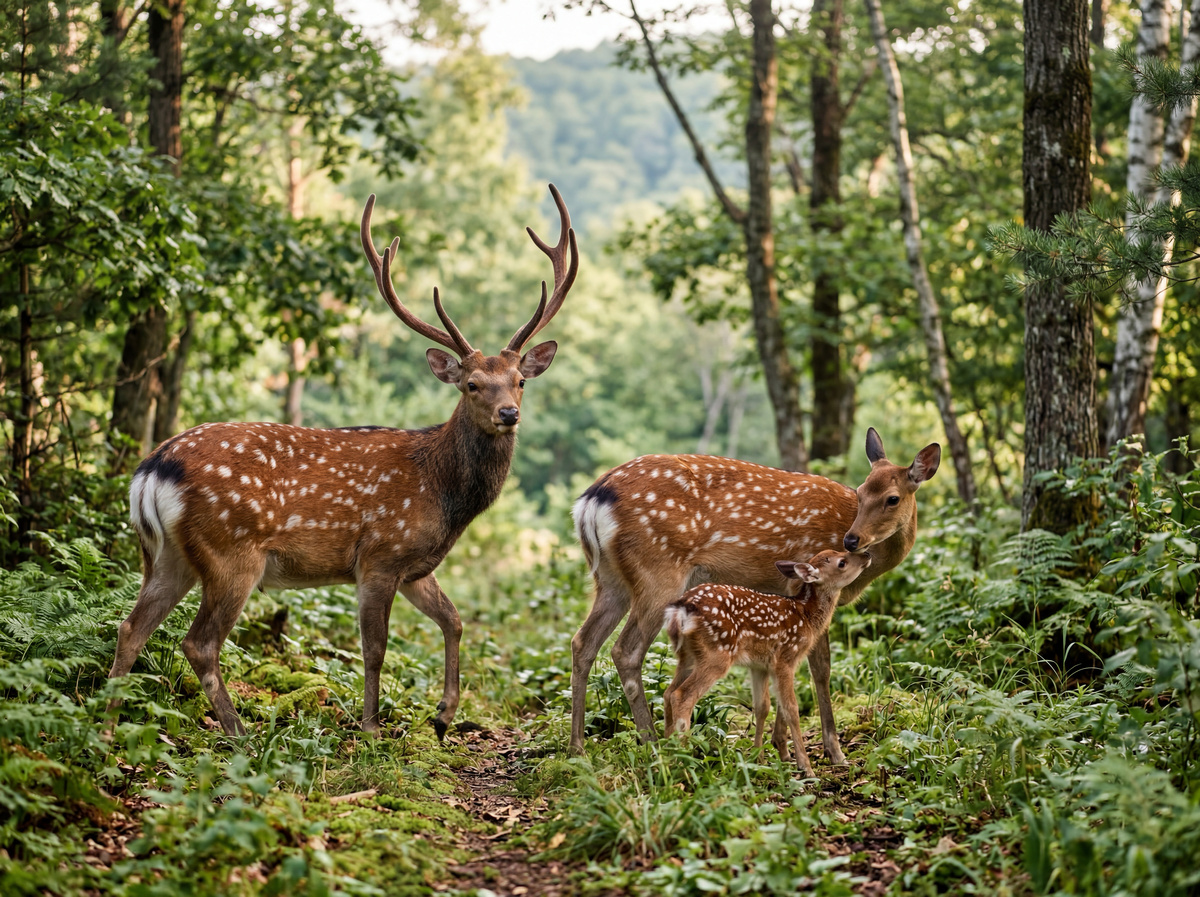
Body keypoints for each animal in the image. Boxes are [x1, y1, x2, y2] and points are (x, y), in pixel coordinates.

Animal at [108, 185, 578, 739]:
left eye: (520, 381)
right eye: (471, 384)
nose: (508, 413)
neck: (442, 493)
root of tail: (151, 470)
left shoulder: (415, 567)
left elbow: (455, 619)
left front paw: (443, 715)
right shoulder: (379, 553)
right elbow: (375, 648)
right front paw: (372, 728)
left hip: (167, 556)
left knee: (131, 626)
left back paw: (107, 729)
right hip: (231, 552)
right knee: (199, 642)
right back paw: (240, 732)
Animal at [663, 549, 872, 776]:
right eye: (842, 562)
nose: (867, 554)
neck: (807, 616)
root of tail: (681, 609)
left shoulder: (759, 665)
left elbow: (762, 707)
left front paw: (758, 759)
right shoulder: (785, 658)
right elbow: (792, 709)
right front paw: (805, 767)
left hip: (687, 656)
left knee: (667, 693)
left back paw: (666, 752)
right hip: (717, 654)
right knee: (682, 696)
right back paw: (683, 758)